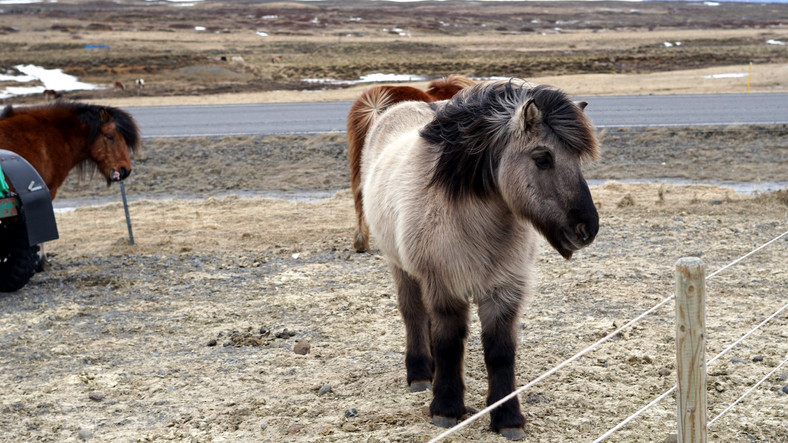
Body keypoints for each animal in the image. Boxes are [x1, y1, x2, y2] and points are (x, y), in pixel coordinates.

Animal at [362, 80, 596, 440]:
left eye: (579, 160)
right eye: (543, 158)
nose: (587, 228)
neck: (473, 221)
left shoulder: (504, 291)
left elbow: (500, 352)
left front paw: (508, 417)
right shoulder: (445, 288)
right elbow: (448, 343)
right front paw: (446, 409)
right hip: (401, 268)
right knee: (413, 313)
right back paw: (420, 372)